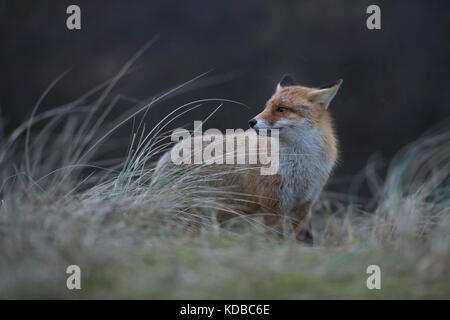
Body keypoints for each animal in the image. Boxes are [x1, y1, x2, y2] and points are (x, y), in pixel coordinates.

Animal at [156, 74, 342, 240]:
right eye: (266, 106)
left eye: (281, 108)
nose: (251, 122)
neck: (300, 163)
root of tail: (168, 154)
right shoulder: (273, 206)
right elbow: (276, 241)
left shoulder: (304, 205)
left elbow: (307, 242)